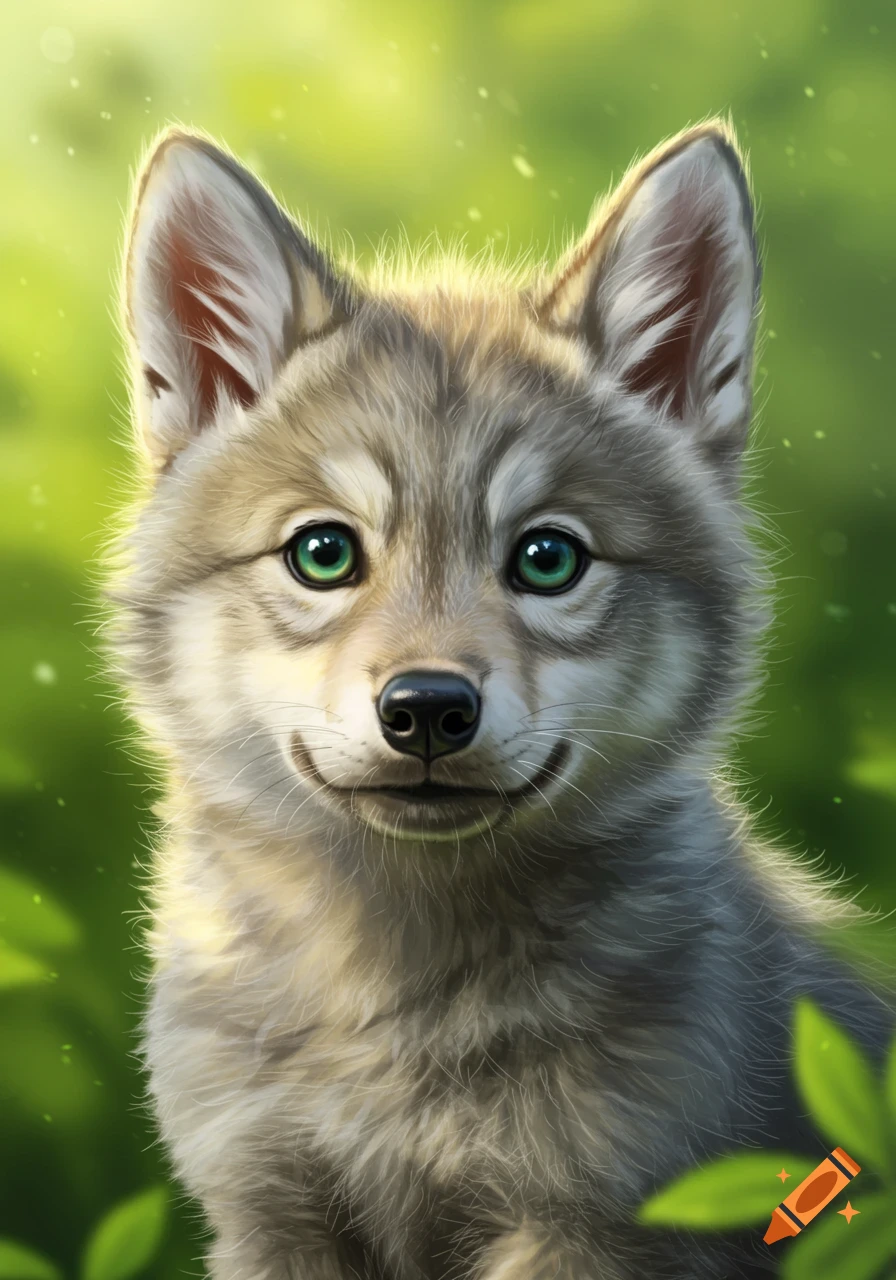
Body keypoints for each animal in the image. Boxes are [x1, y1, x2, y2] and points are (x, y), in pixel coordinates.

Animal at [106, 118, 895, 1279]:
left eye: (547, 558)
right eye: (323, 552)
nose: (427, 707)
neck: (399, 998)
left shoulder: (586, 1216)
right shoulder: (268, 1210)